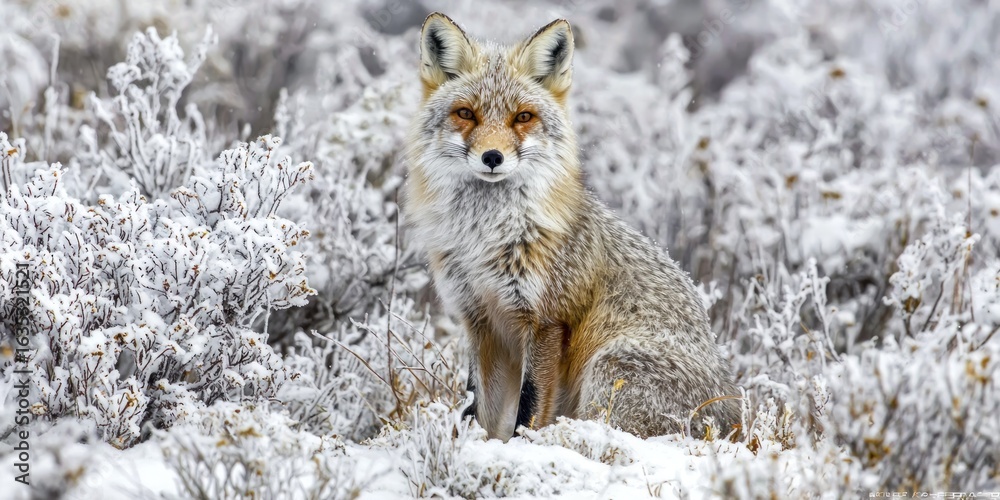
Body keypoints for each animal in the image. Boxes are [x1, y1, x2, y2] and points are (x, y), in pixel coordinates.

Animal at [402, 12, 741, 441]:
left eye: (523, 117)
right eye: (466, 114)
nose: (492, 157)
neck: (486, 238)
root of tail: (736, 416)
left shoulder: (547, 321)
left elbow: (528, 410)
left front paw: (521, 448)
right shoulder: (482, 322)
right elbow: (478, 410)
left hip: (609, 365)